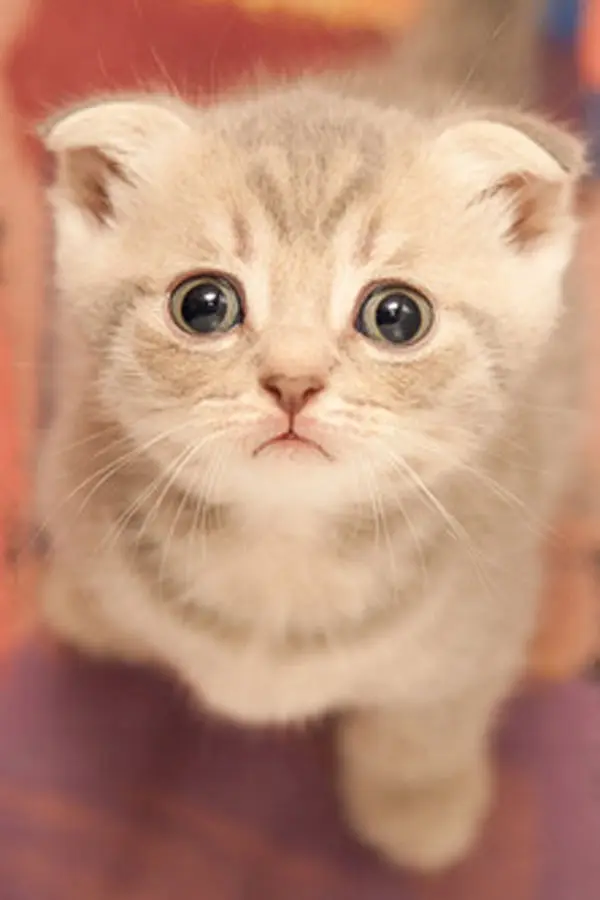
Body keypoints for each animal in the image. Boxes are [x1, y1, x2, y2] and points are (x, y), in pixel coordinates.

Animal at [37, 0, 585, 873]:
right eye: (204, 305)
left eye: (396, 315)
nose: (292, 381)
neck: (282, 556)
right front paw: (86, 609)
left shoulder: (486, 622)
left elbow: (428, 721)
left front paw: (419, 804)